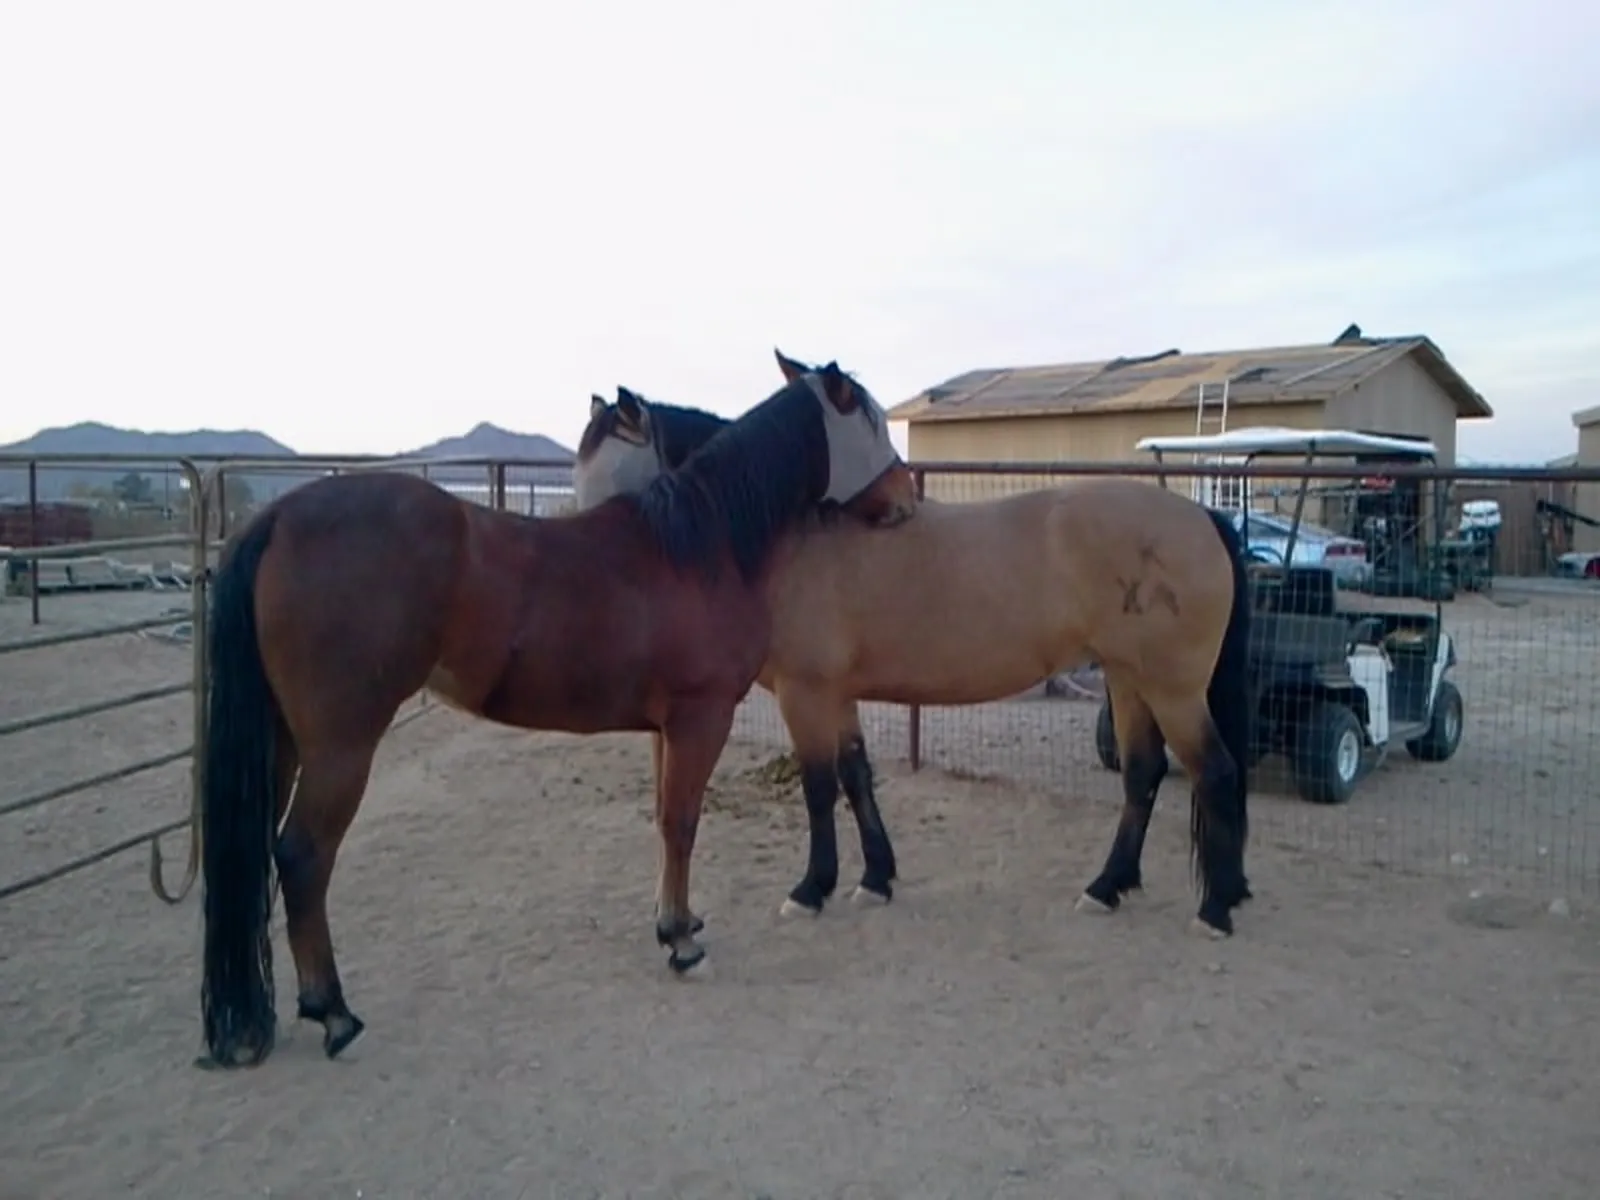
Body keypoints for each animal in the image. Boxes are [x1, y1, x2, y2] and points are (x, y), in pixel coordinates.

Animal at [196, 363, 917, 1069]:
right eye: (874, 423)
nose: (906, 498)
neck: (700, 545)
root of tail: (277, 519)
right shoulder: (700, 718)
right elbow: (682, 823)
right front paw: (682, 945)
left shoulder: (667, 729)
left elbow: (666, 823)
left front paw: (675, 922)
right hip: (341, 746)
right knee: (303, 856)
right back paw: (333, 1013)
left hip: (284, 743)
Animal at [574, 349, 1254, 944]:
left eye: (608, 481)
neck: (788, 534)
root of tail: (1201, 518)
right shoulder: (836, 693)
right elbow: (856, 776)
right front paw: (875, 878)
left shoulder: (804, 691)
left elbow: (818, 786)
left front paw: (811, 889)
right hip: (1126, 678)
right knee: (1143, 774)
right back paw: (1109, 886)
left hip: (1172, 688)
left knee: (1215, 773)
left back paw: (1215, 910)